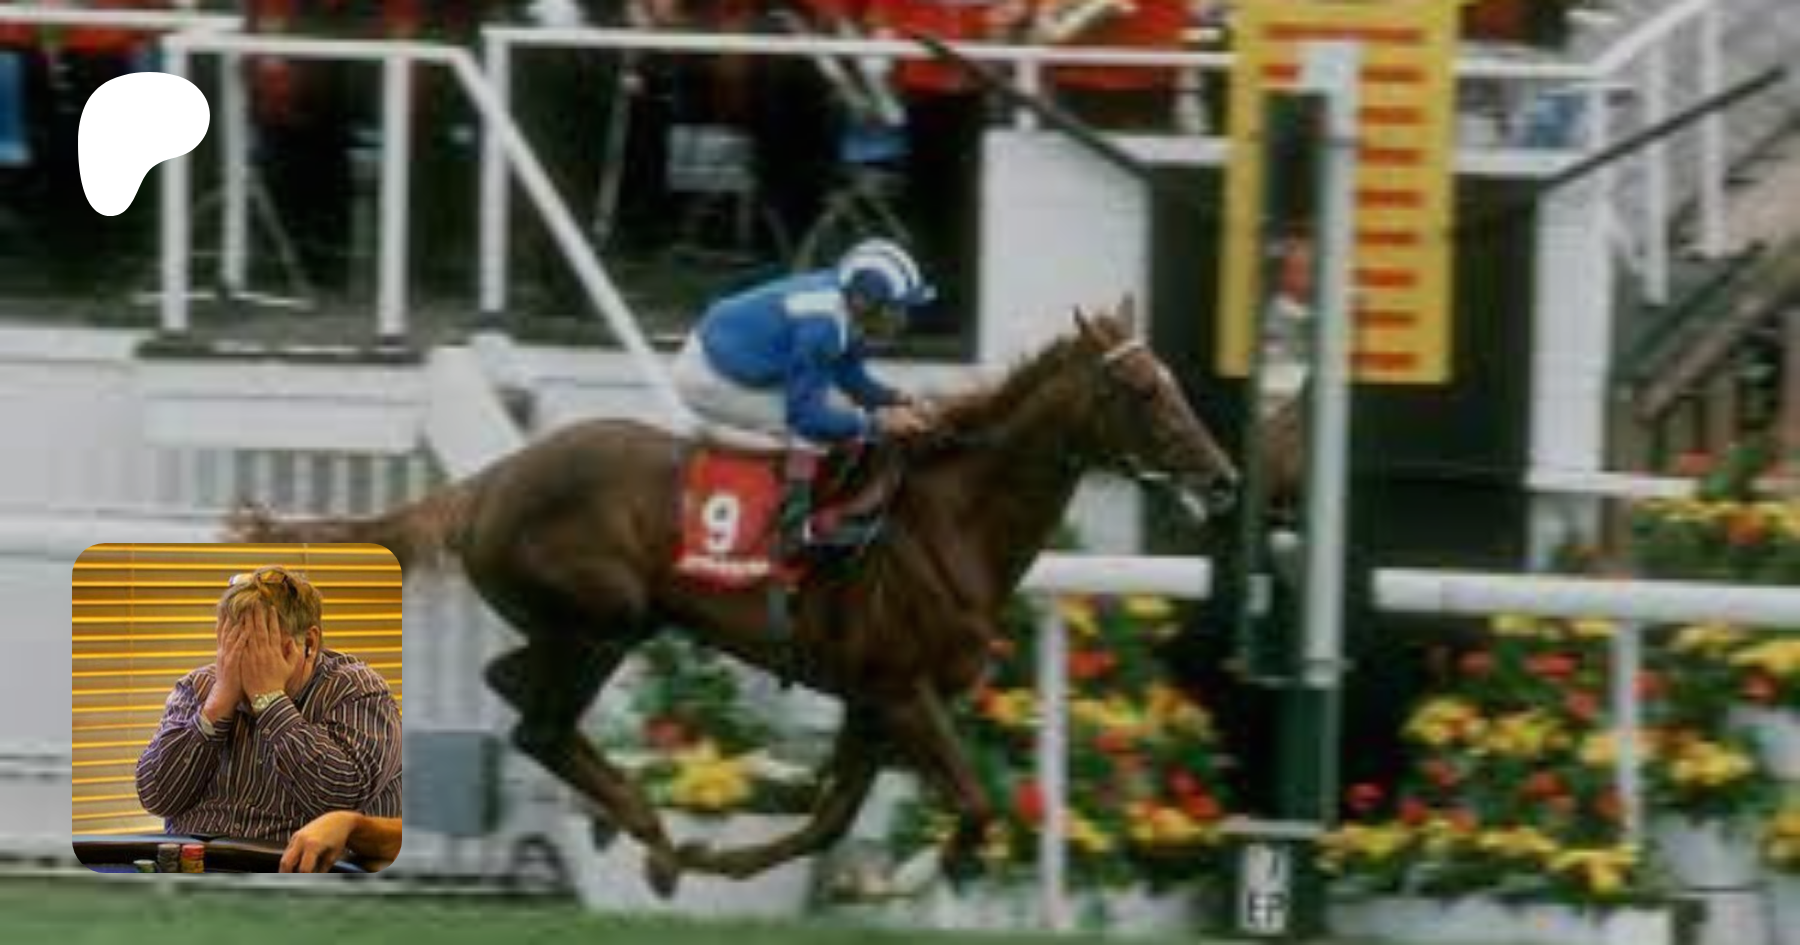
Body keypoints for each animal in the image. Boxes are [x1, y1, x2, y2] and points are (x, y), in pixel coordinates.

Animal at [230, 300, 1239, 894]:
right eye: (1141, 387)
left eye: (1171, 380)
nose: (1224, 476)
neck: (946, 519)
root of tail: (489, 482)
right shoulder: (899, 691)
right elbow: (972, 805)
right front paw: (916, 873)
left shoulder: (872, 701)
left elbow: (827, 820)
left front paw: (749, 854)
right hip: (610, 617)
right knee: (538, 722)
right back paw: (650, 834)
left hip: (593, 625)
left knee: (518, 688)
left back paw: (639, 831)